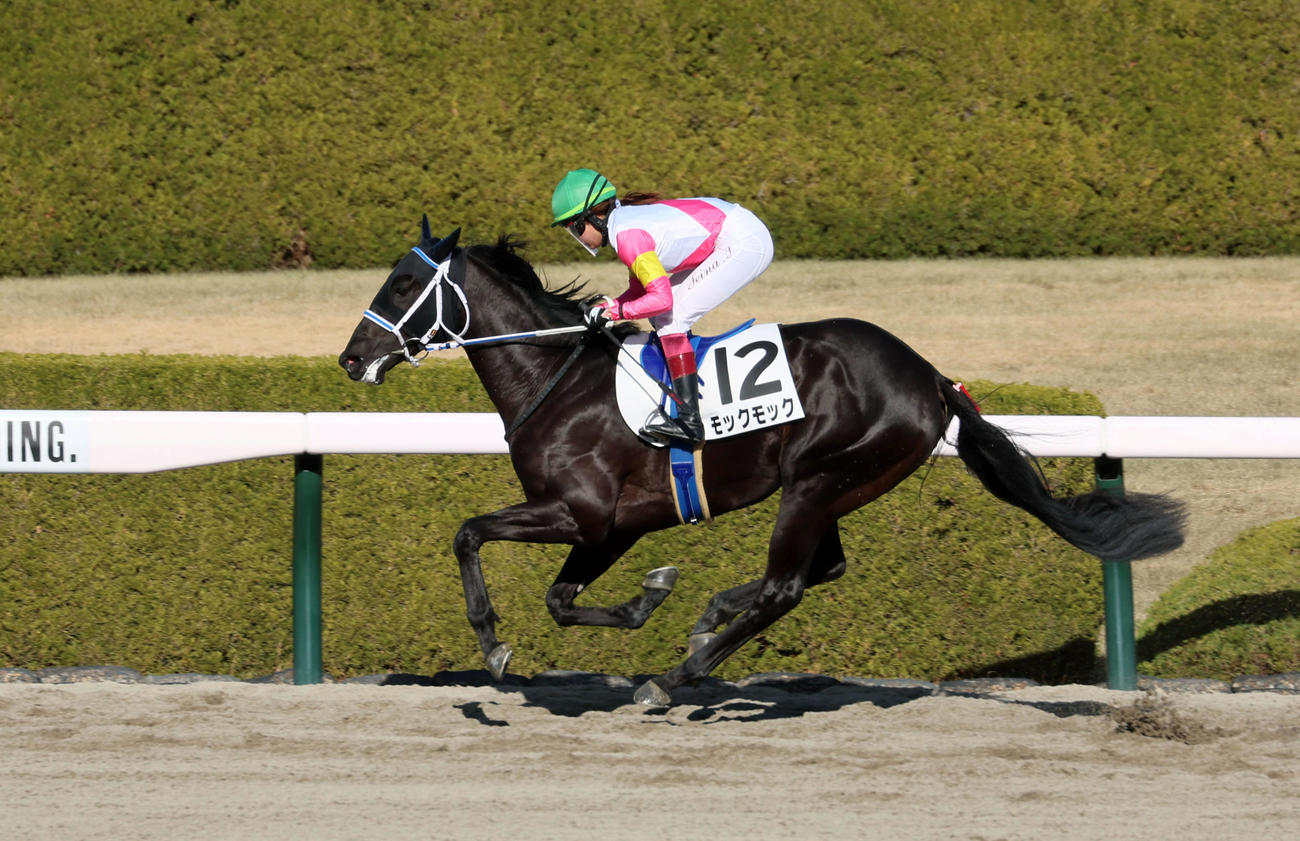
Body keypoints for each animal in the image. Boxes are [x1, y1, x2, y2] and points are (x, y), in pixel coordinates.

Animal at [338, 217, 1187, 706]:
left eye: (404, 283)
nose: (350, 358)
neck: (559, 378)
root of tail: (930, 377)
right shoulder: (613, 525)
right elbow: (561, 598)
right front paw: (654, 595)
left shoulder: (579, 511)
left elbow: (468, 533)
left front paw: (494, 644)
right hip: (831, 485)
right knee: (820, 569)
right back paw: (708, 619)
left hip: (816, 480)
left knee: (787, 585)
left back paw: (674, 677)